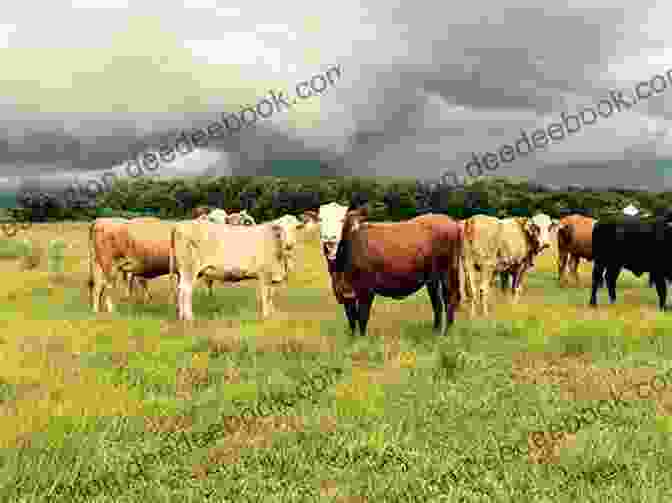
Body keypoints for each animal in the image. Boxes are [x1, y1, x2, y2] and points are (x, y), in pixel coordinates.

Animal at [330, 205, 462, 338]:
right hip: (432, 277)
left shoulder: (366, 290)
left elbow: (362, 317)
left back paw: (446, 333)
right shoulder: (345, 293)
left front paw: (362, 339)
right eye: (324, 220)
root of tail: (450, 221)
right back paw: (435, 331)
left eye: (342, 220)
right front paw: (353, 339)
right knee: (437, 303)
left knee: (449, 299)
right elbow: (351, 319)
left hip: (448, 271)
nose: (330, 239)